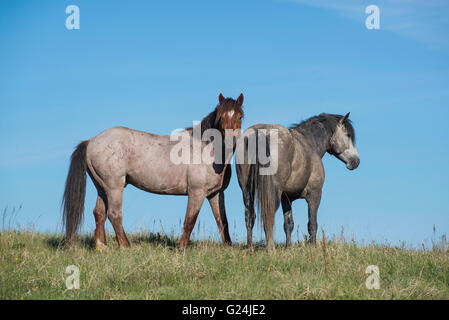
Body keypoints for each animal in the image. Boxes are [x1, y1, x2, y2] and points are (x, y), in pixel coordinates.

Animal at [61, 92, 243, 248]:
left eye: (240, 116)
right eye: (221, 117)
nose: (229, 140)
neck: (206, 150)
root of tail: (90, 141)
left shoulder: (215, 194)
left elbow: (222, 222)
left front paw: (228, 247)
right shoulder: (196, 193)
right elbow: (190, 220)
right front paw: (181, 249)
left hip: (102, 187)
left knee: (99, 213)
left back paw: (102, 248)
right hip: (114, 187)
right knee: (114, 214)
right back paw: (126, 246)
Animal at [236, 113, 358, 250]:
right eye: (348, 135)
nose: (356, 161)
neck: (310, 143)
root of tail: (261, 133)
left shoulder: (286, 198)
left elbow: (288, 224)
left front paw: (288, 247)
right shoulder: (314, 195)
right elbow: (312, 224)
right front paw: (313, 247)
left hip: (247, 190)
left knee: (249, 215)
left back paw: (250, 247)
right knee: (268, 215)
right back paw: (270, 248)